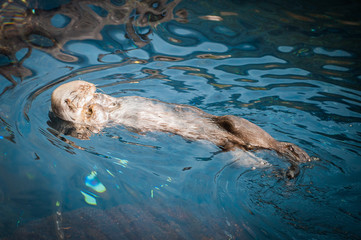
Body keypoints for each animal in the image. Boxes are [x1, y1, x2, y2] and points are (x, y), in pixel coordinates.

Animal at [50, 80, 310, 176]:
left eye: (86, 85)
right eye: (81, 90)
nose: (92, 86)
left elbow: (109, 103)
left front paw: (104, 99)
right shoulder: (86, 123)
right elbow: (96, 118)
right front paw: (94, 108)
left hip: (235, 127)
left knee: (269, 144)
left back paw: (299, 155)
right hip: (232, 143)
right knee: (262, 152)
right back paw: (290, 160)